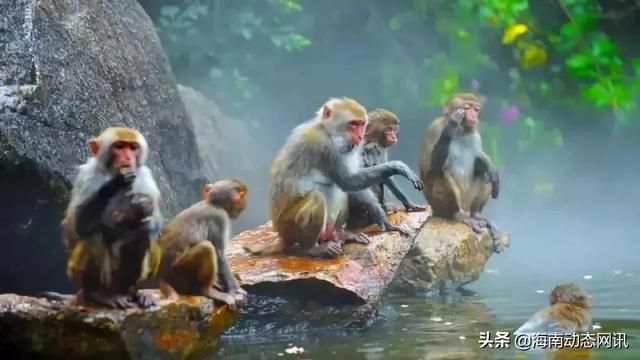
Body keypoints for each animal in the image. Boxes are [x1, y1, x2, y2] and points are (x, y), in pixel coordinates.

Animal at [42, 125, 162, 308]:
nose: (127, 157)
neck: (111, 171)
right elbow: (76, 227)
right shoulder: (87, 176)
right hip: (82, 273)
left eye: (132, 147)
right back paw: (97, 294)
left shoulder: (145, 177)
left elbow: (154, 223)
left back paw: (132, 292)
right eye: (119, 146)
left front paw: (137, 211)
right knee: (95, 235)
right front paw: (116, 185)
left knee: (142, 233)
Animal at [156, 180, 249, 310]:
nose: (239, 211)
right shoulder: (220, 218)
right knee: (207, 247)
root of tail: (164, 277)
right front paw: (235, 290)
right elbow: (219, 253)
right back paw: (207, 291)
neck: (212, 203)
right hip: (180, 272)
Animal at [242, 97, 422, 258]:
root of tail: (281, 236)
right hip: (288, 227)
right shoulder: (327, 147)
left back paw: (341, 236)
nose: (359, 136)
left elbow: (354, 182)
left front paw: (392, 209)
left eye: (361, 124)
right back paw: (312, 249)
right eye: (353, 124)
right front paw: (397, 167)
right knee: (317, 197)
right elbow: (349, 181)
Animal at [420, 92, 504, 245]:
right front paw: (450, 126)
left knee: (484, 174)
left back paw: (477, 215)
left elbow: (480, 159)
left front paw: (489, 165)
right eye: (467, 108)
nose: (474, 116)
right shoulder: (434, 129)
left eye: (476, 110)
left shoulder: (475, 135)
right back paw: (456, 215)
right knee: (440, 175)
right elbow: (429, 170)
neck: (461, 132)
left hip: (468, 201)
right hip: (439, 206)